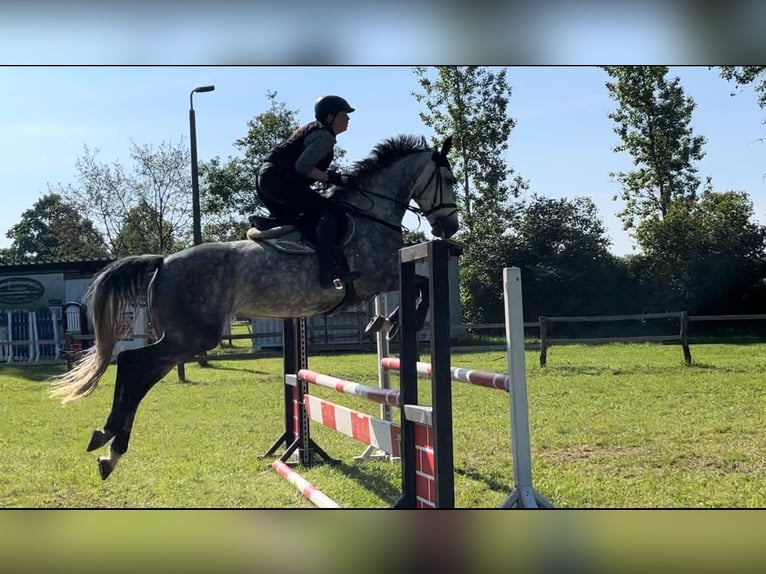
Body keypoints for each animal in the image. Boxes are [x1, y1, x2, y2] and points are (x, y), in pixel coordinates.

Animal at [51, 135, 460, 482]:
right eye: (449, 178)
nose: (451, 228)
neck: (370, 214)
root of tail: (163, 261)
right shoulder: (379, 275)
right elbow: (421, 284)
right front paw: (397, 322)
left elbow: (418, 286)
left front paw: (387, 322)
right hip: (192, 336)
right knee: (134, 364)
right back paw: (111, 445)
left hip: (183, 336)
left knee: (136, 368)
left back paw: (106, 442)